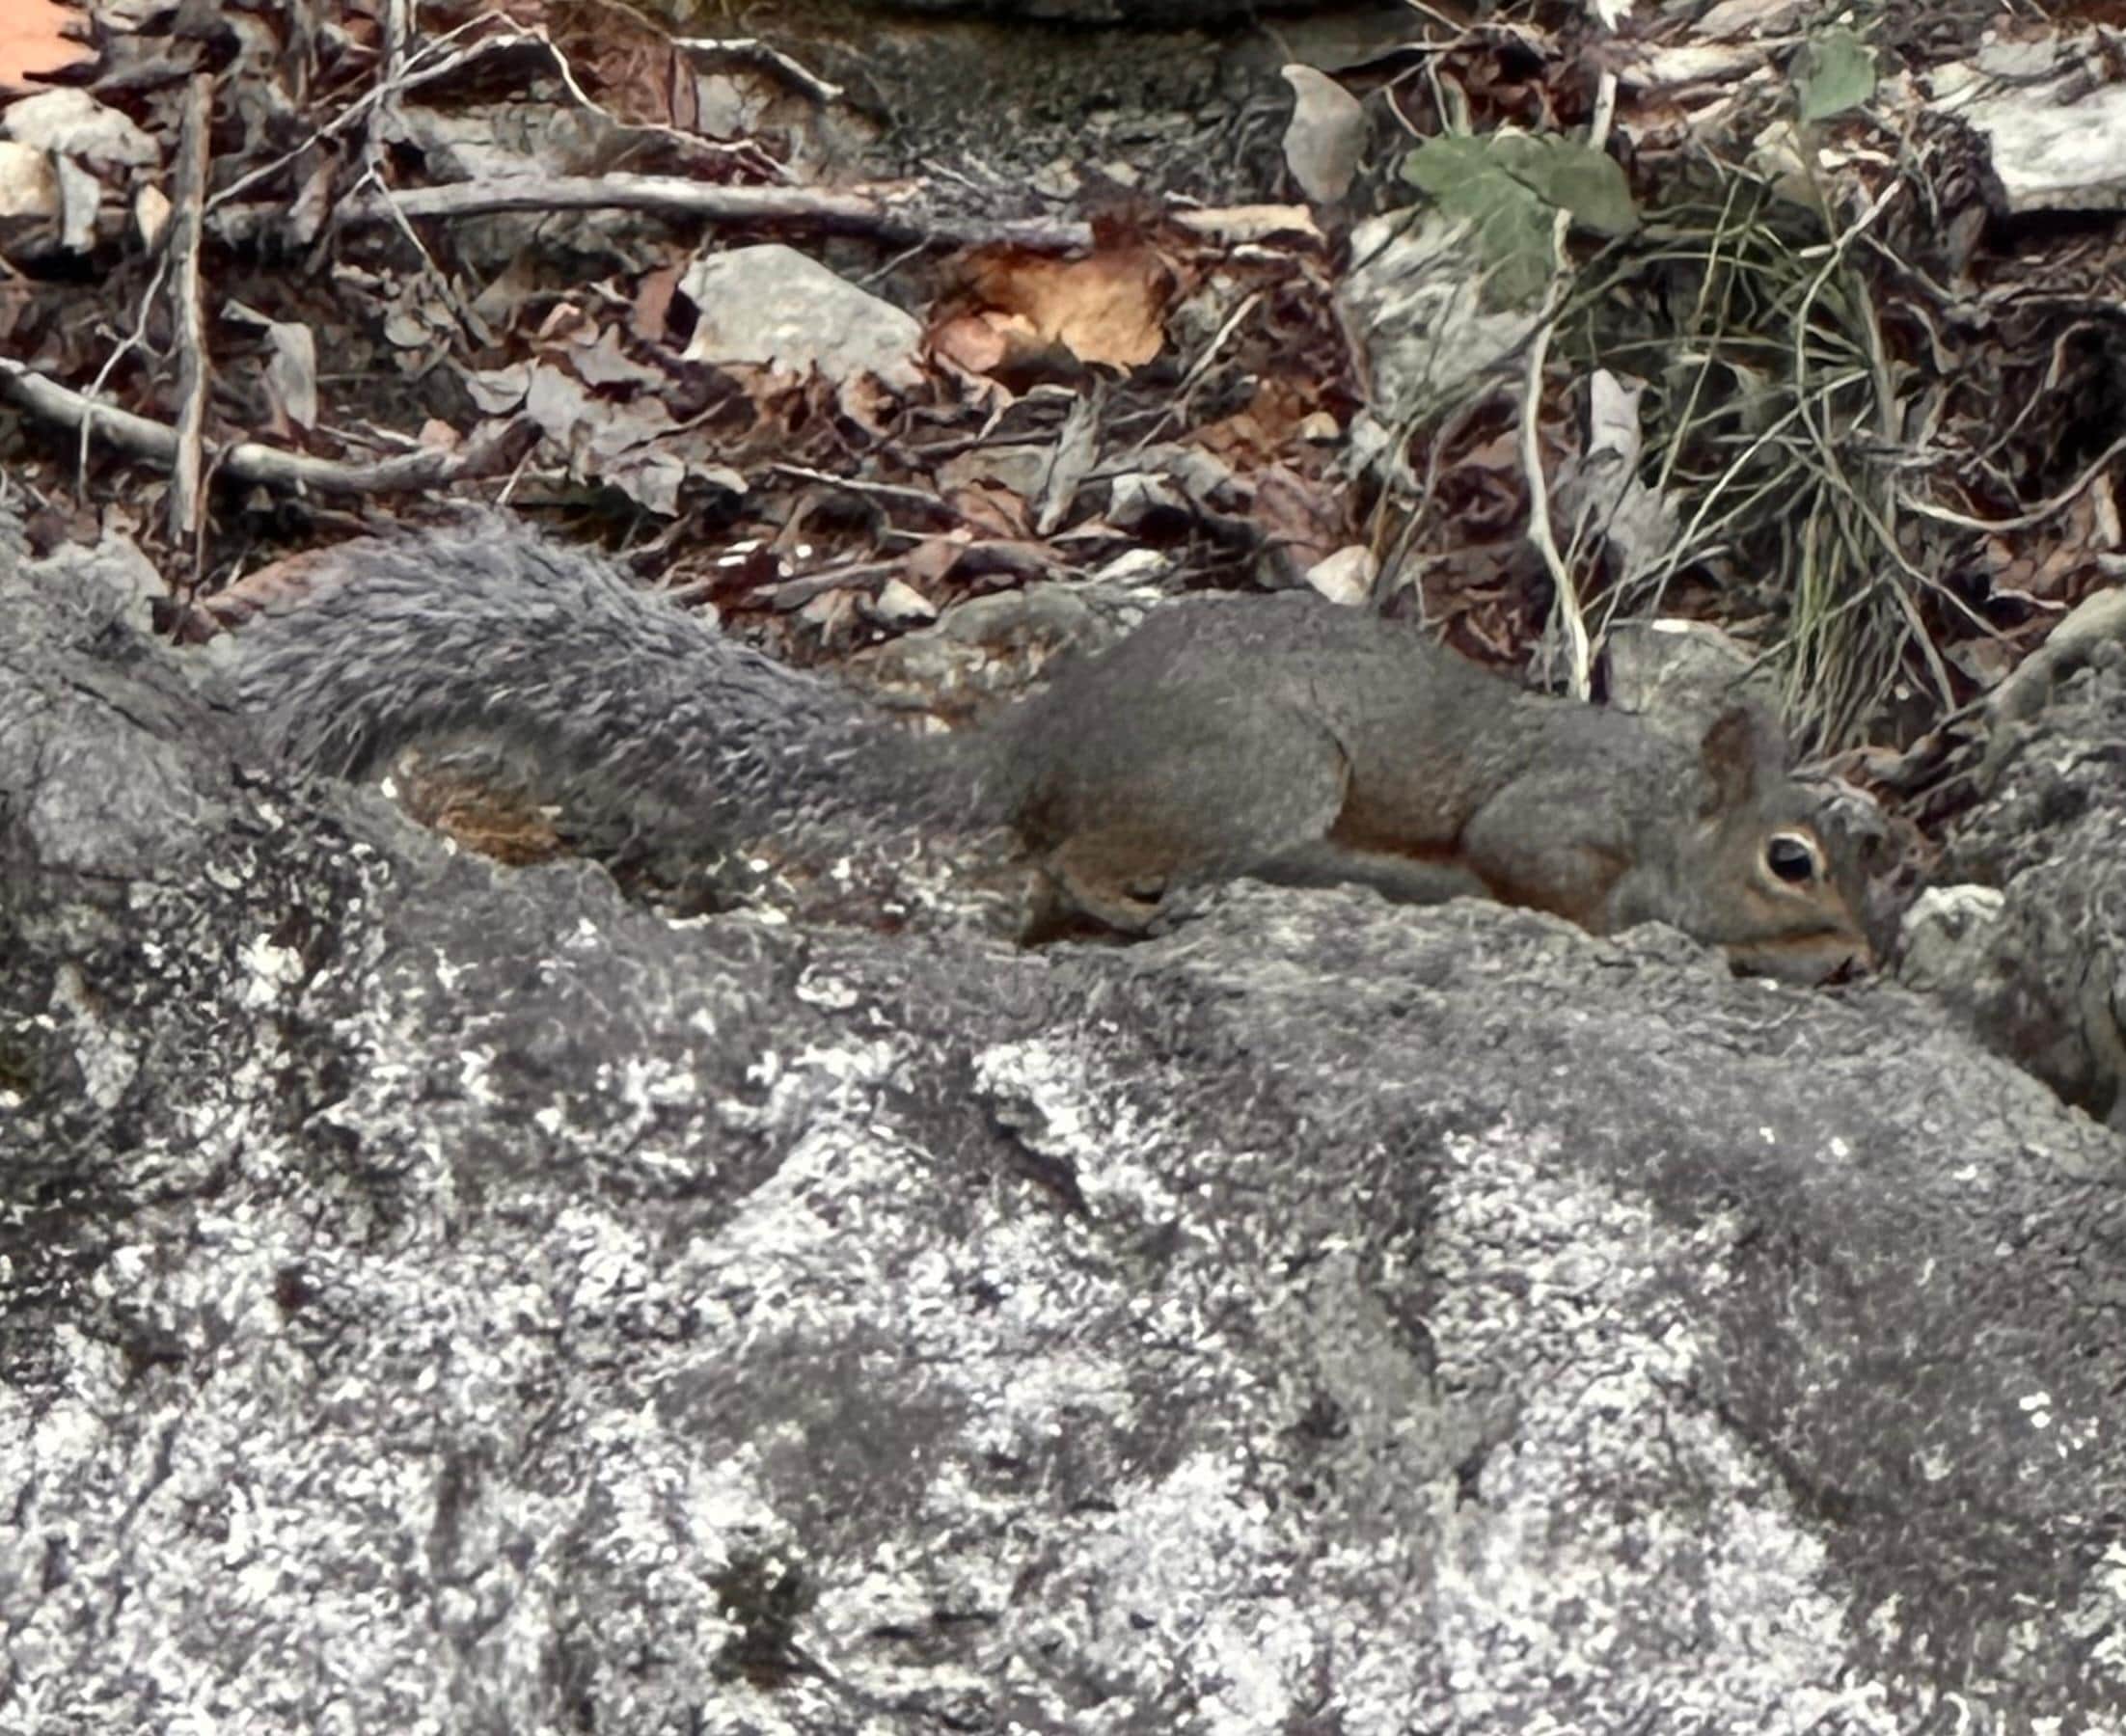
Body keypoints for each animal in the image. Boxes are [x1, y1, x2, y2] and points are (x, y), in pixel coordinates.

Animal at [231, 515, 1875, 982]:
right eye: (1794, 860)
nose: (1867, 960)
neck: (1668, 804)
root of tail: (1028, 743)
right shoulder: (1557, 816)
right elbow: (1534, 871)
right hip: (1269, 778)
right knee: (1084, 861)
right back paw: (1147, 907)